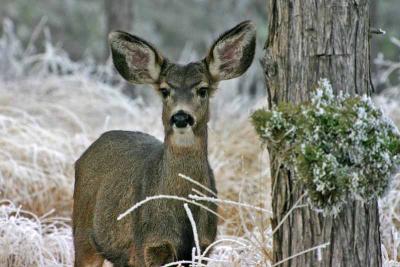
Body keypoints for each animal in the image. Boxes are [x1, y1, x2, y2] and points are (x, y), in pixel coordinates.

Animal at [72, 19, 256, 266]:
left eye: (203, 89)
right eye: (165, 90)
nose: (181, 117)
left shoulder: (203, 247)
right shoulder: (146, 246)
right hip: (83, 235)